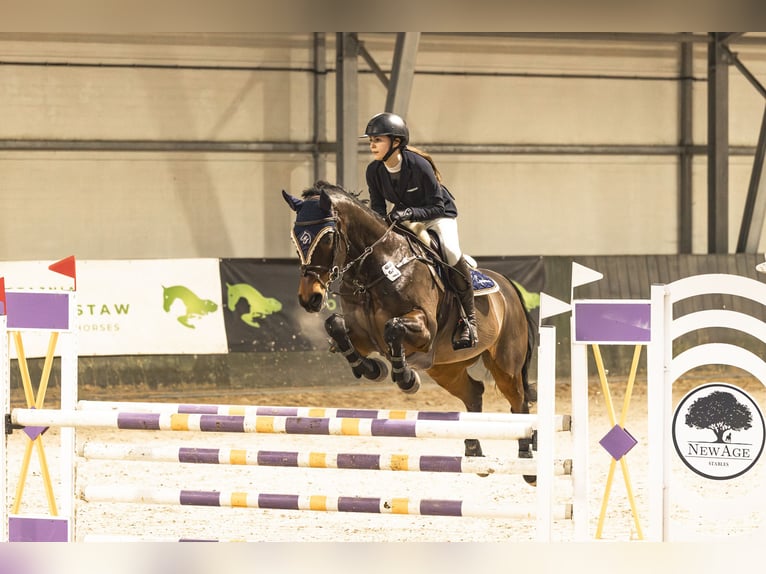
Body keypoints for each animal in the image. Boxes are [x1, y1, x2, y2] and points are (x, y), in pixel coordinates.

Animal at [282, 181, 540, 486]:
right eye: (296, 239)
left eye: (327, 238)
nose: (309, 298)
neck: (375, 269)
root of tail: (510, 288)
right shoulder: (364, 337)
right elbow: (335, 325)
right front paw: (371, 369)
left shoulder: (424, 329)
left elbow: (393, 328)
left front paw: (405, 378)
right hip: (445, 368)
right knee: (474, 392)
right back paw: (474, 451)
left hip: (505, 365)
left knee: (519, 402)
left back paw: (527, 463)